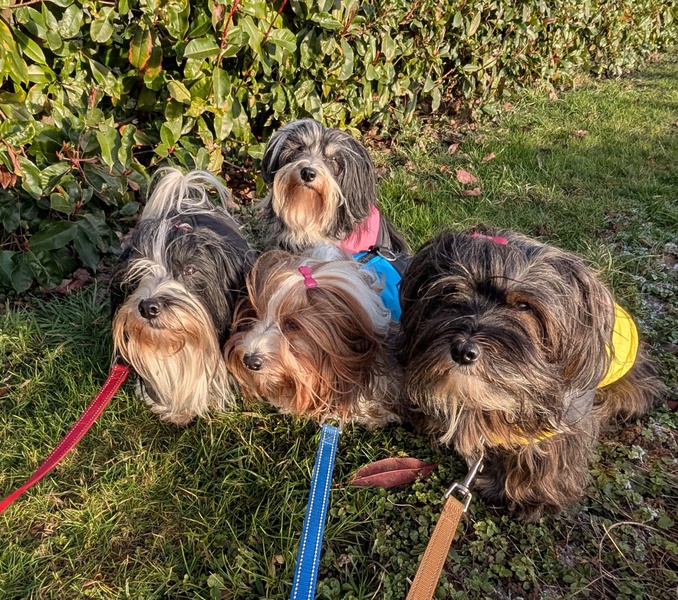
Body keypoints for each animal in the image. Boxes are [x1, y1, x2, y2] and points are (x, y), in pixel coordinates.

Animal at [398, 229, 662, 519]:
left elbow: (545, 455)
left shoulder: (563, 422)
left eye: (524, 306)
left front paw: (530, 496)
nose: (463, 350)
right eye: (451, 291)